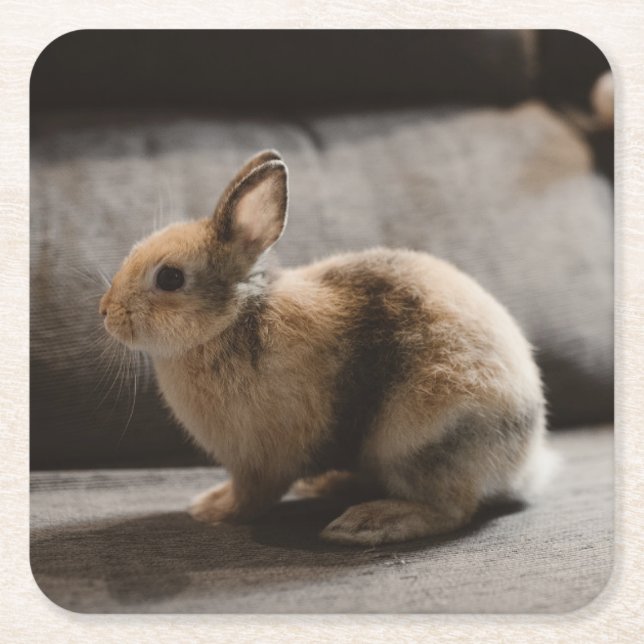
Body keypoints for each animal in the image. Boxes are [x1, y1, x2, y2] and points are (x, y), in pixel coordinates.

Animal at [99, 149, 555, 546]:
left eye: (170, 278)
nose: (106, 312)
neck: (233, 320)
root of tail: (526, 459)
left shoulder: (261, 461)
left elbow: (251, 496)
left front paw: (211, 510)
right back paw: (330, 485)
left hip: (420, 441)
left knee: (451, 509)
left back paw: (365, 523)